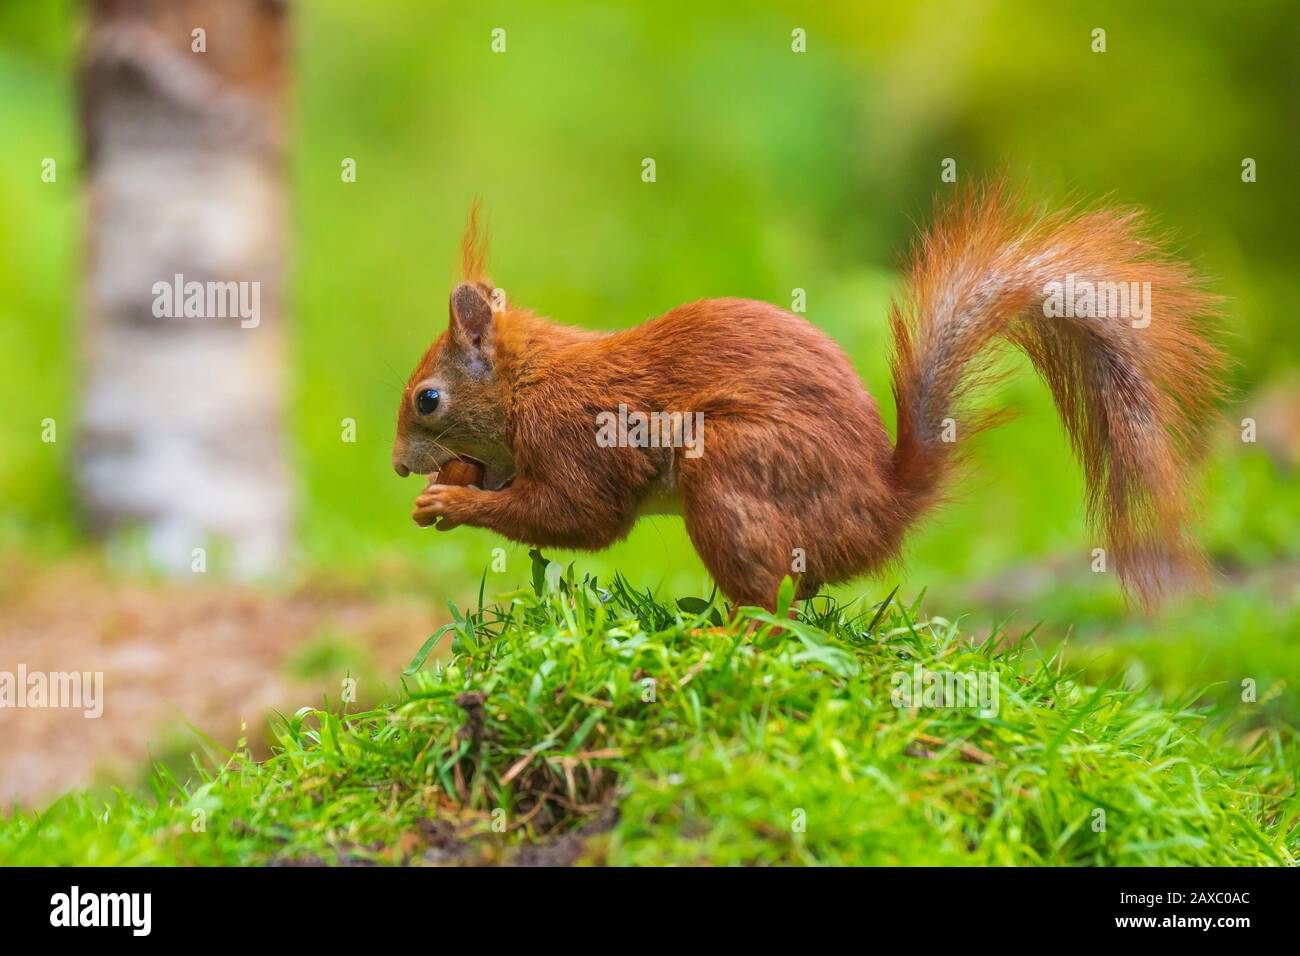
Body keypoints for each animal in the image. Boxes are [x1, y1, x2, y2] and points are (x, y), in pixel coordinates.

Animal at [392, 187, 1225, 611]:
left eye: (427, 399)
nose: (400, 467)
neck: (531, 381)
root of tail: (883, 509)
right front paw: (451, 489)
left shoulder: (575, 437)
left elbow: (577, 517)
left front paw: (453, 503)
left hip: (731, 471)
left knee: (768, 604)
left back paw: (717, 638)